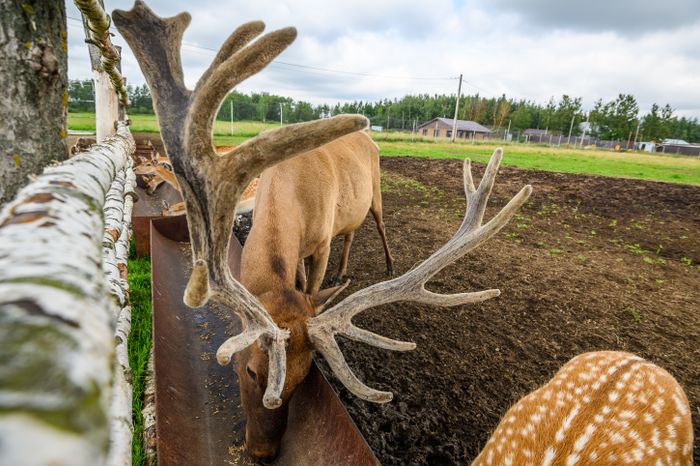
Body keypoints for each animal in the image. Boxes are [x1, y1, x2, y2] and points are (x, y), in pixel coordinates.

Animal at [114, 2, 531, 461]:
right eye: (249, 369)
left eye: (302, 380)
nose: (263, 452)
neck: (287, 192)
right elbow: (303, 285)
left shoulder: (320, 242)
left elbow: (312, 289)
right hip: (350, 214)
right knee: (351, 234)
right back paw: (346, 271)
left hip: (376, 193)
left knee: (377, 227)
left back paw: (386, 264)